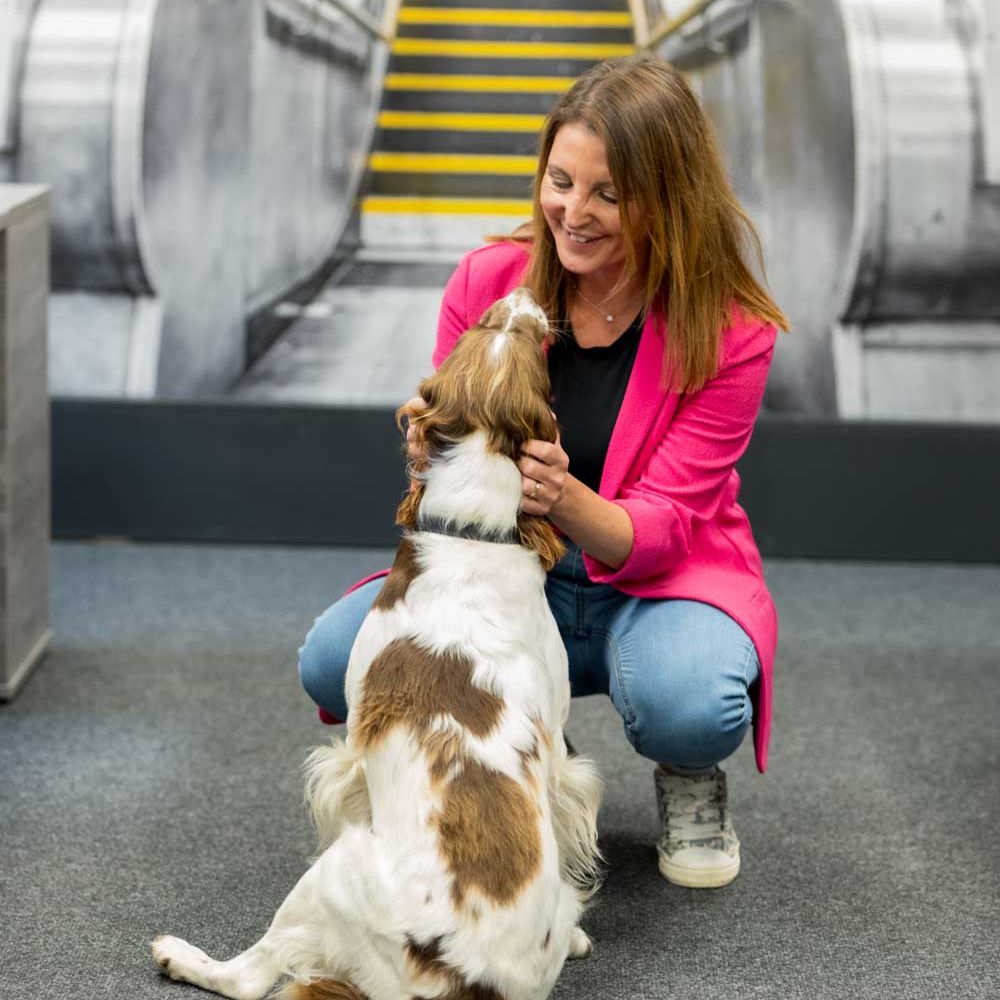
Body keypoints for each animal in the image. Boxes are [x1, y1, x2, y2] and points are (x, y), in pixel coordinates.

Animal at [148, 288, 600, 1000]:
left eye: (524, 335)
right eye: (489, 324)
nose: (523, 295)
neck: (471, 532)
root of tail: (467, 981)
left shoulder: (350, 754)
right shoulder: (559, 751)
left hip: (332, 874)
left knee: (250, 975)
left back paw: (179, 955)